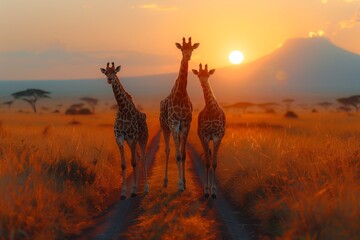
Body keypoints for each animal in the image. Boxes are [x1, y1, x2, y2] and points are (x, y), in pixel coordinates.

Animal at [100, 62, 148, 200]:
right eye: (106, 72)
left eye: (114, 72)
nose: (110, 79)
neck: (123, 109)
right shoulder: (120, 138)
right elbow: (124, 164)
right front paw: (123, 193)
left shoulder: (133, 137)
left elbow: (133, 162)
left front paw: (133, 191)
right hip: (131, 141)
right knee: (138, 157)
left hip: (142, 138)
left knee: (142, 158)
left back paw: (145, 189)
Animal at [160, 37, 200, 191]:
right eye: (182, 49)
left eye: (192, 48)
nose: (187, 56)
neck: (181, 94)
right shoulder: (174, 124)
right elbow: (177, 155)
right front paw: (180, 184)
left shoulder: (186, 124)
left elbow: (182, 155)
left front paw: (185, 182)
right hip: (165, 127)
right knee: (167, 150)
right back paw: (165, 181)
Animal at [191, 63, 225, 199]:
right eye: (199, 75)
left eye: (208, 75)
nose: (203, 82)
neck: (211, 109)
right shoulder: (205, 136)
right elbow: (207, 163)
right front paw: (207, 190)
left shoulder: (217, 137)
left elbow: (214, 164)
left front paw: (214, 191)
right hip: (201, 137)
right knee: (207, 159)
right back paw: (207, 190)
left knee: (210, 159)